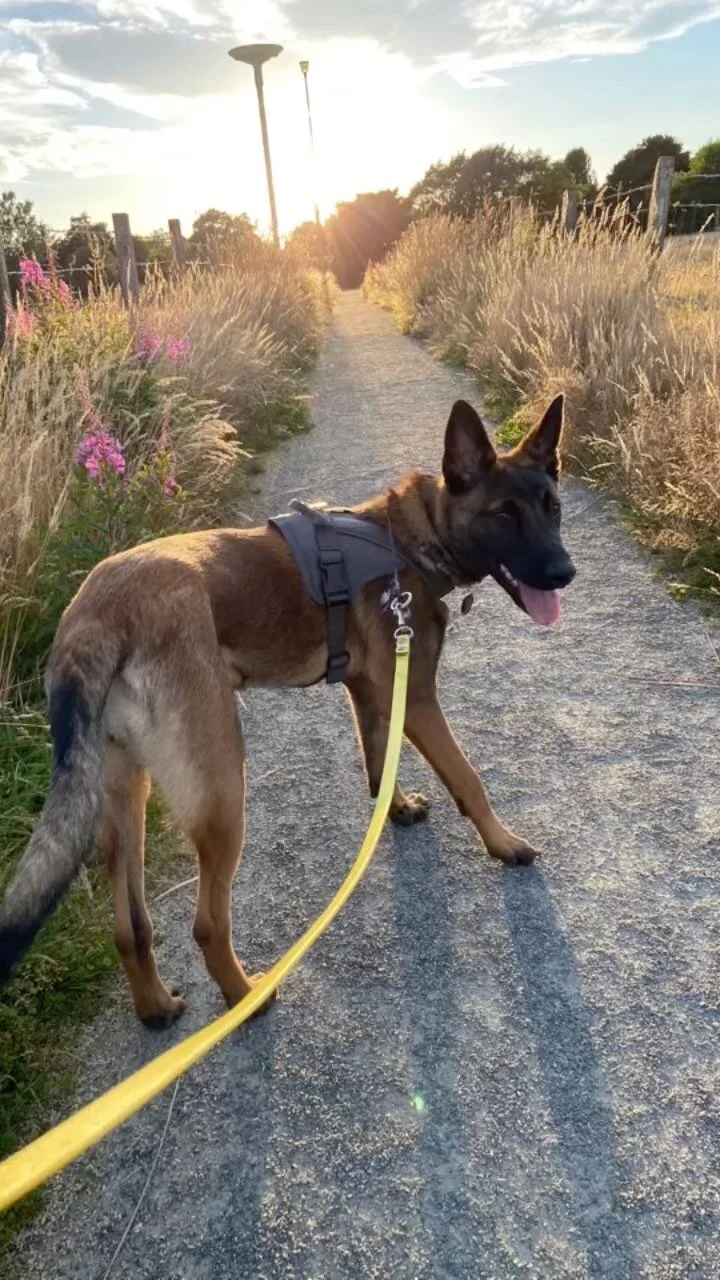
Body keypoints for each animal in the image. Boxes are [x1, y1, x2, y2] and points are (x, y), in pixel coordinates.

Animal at [0, 395, 575, 1027]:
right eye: (504, 514)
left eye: (552, 508)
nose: (565, 573)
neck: (409, 538)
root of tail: (94, 617)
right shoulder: (418, 698)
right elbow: (468, 779)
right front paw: (504, 844)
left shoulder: (371, 692)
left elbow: (379, 760)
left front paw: (395, 808)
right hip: (222, 788)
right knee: (206, 923)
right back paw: (244, 995)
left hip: (123, 794)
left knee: (129, 927)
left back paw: (155, 1006)